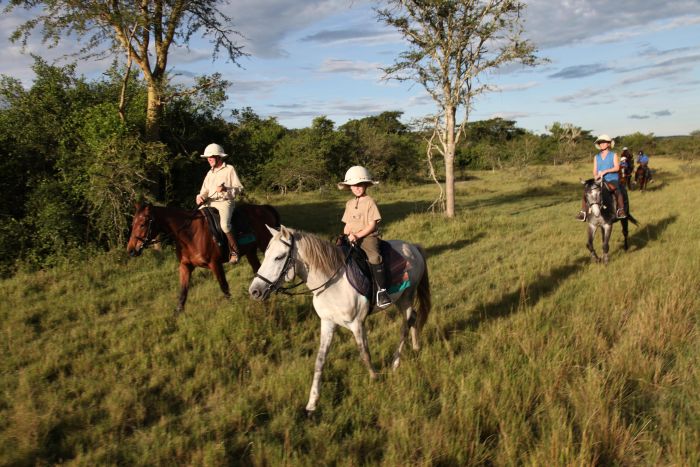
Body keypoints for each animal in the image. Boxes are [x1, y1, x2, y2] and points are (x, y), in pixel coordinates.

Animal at [127, 203, 280, 312]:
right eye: (133, 223)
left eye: (142, 224)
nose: (131, 250)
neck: (190, 233)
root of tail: (263, 208)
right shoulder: (185, 266)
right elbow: (183, 292)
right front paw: (177, 315)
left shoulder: (215, 264)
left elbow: (224, 287)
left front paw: (232, 306)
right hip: (251, 252)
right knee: (257, 269)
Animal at [249, 227, 430, 414]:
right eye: (266, 254)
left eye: (279, 257)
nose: (254, 291)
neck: (332, 283)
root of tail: (413, 247)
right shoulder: (327, 323)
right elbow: (320, 361)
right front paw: (312, 403)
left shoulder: (357, 324)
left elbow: (364, 354)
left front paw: (375, 378)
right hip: (403, 300)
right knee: (414, 318)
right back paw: (416, 347)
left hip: (406, 298)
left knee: (405, 326)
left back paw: (395, 363)